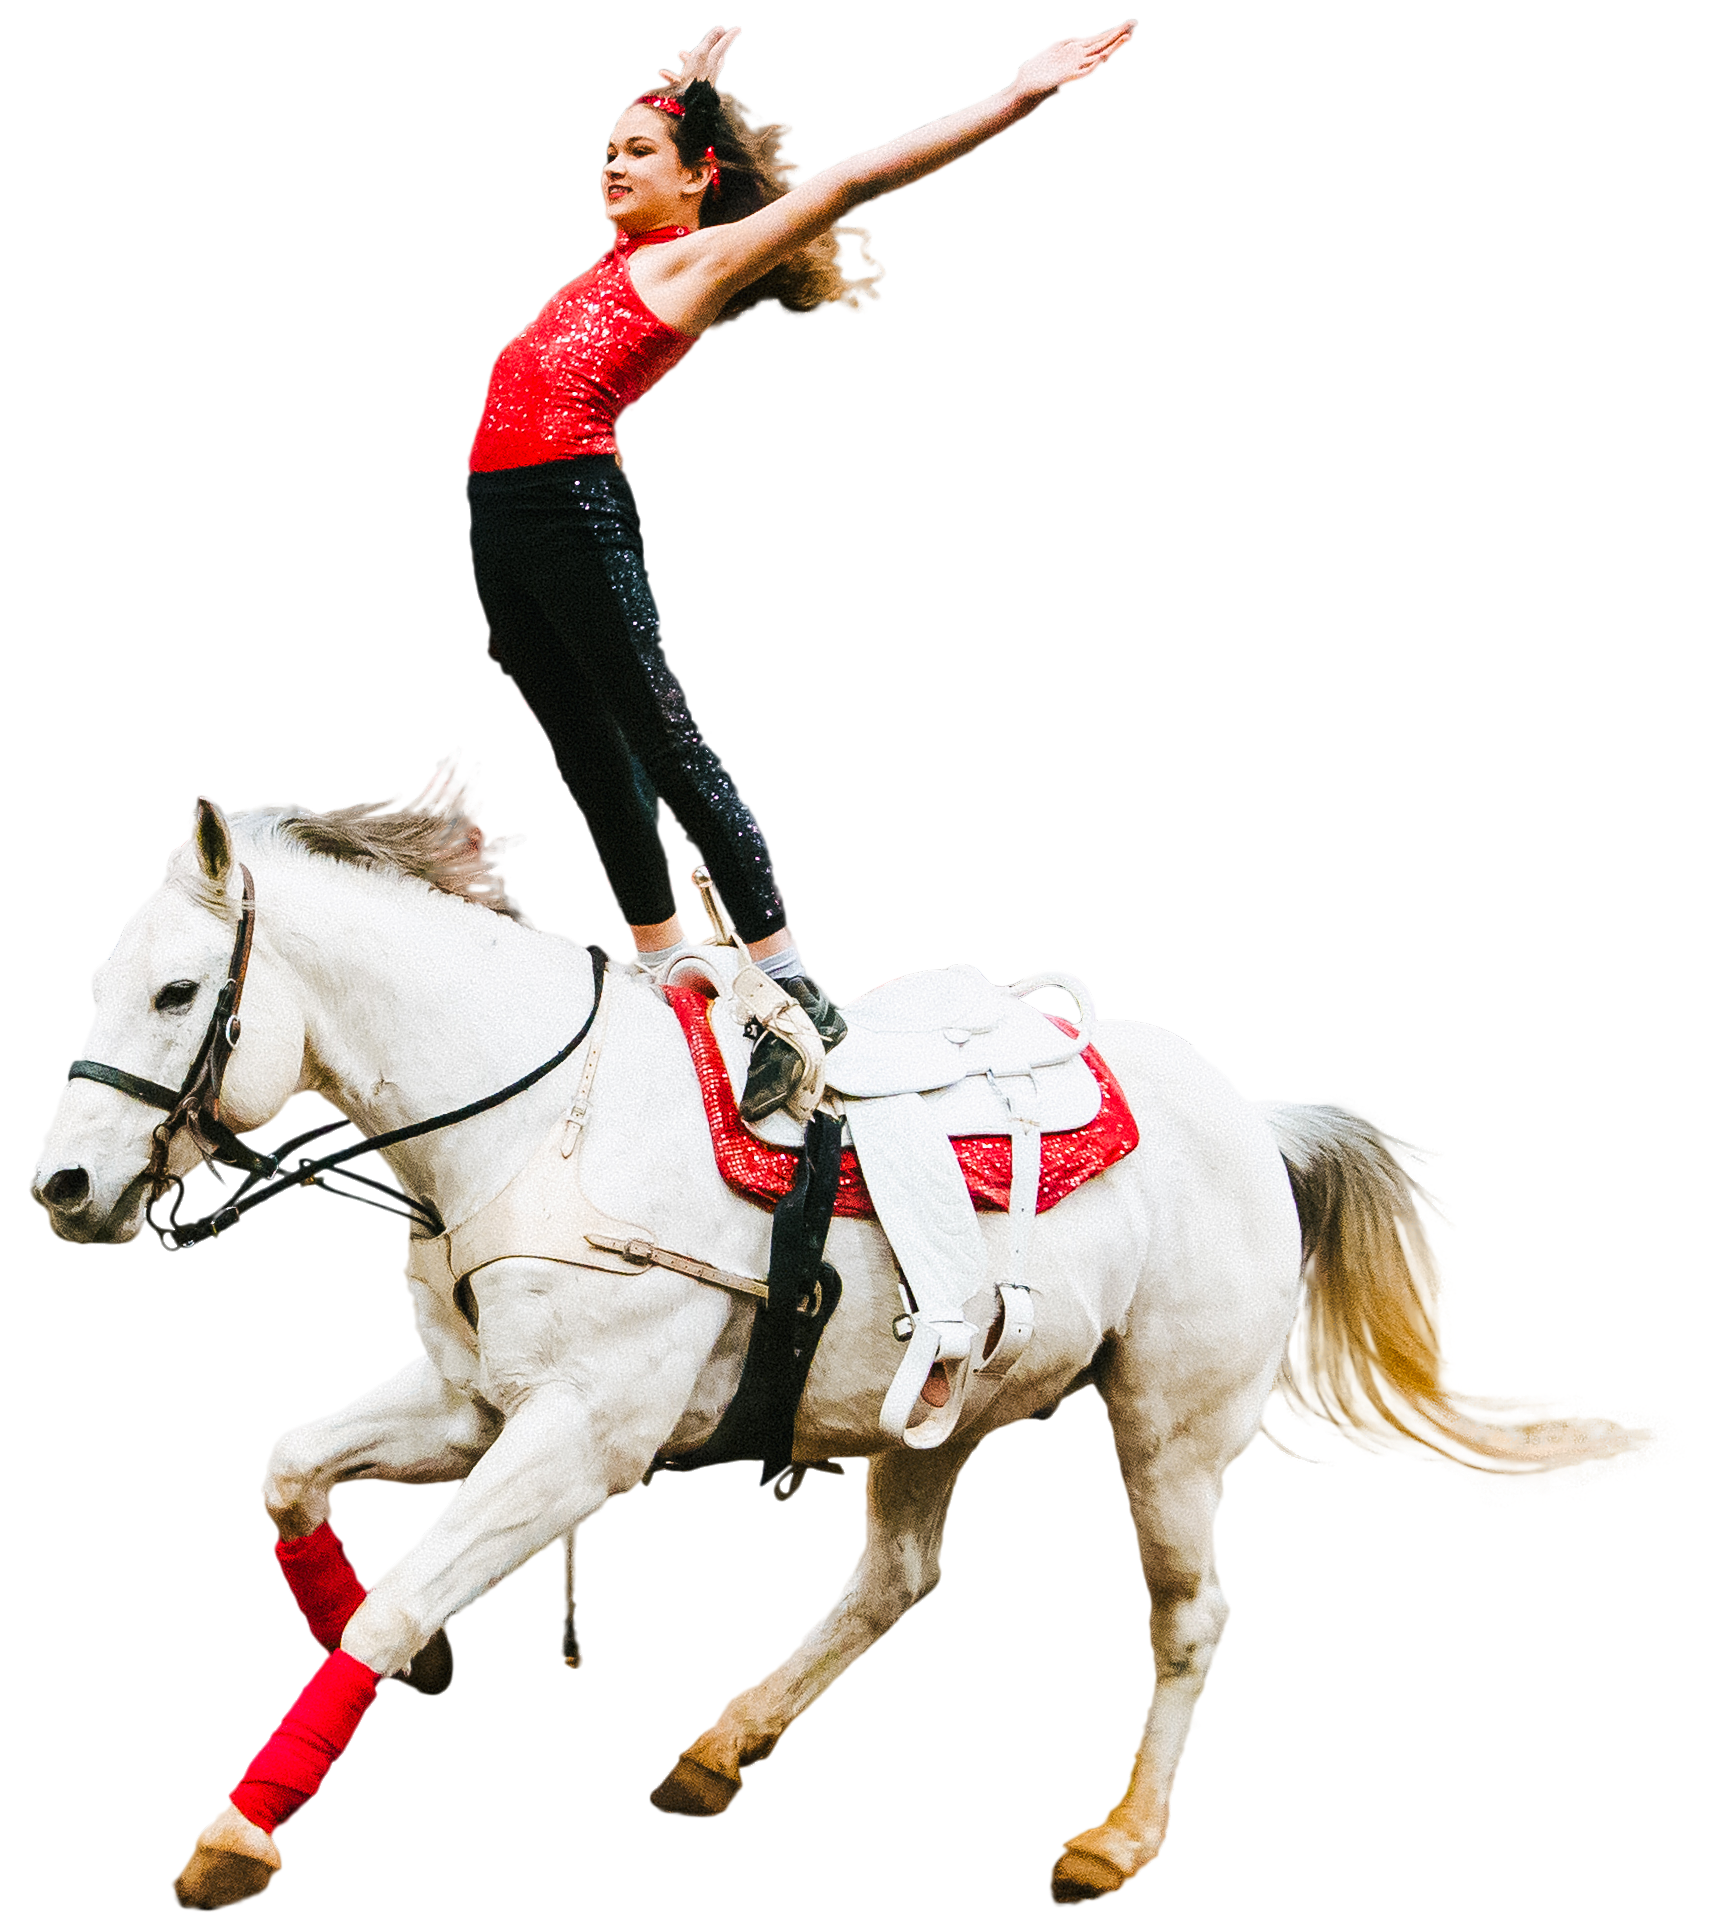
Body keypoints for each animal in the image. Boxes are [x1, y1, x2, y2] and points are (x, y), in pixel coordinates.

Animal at [29, 757, 1681, 1912]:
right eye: (105, 981)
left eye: (177, 990)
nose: (64, 1189)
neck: (540, 1123)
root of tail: (1251, 1118)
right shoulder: (471, 1400)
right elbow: (287, 1468)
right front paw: (403, 1657)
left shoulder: (575, 1443)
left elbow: (387, 1599)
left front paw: (243, 1824)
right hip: (936, 1410)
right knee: (895, 1578)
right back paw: (721, 1748)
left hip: (1168, 1431)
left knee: (1186, 1617)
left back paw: (1113, 1841)